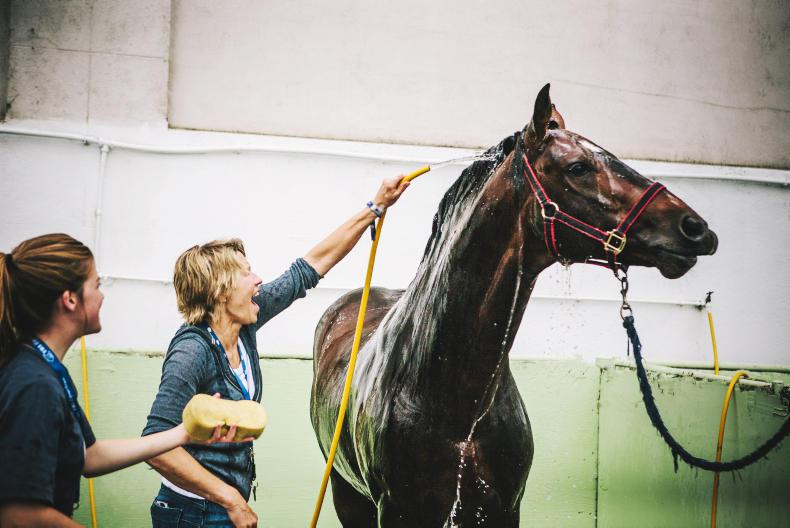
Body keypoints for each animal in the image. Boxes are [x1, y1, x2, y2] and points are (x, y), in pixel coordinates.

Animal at [310, 84, 718, 527]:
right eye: (577, 167)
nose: (696, 229)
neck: (457, 406)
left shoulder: (503, 507)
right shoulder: (398, 510)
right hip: (347, 495)